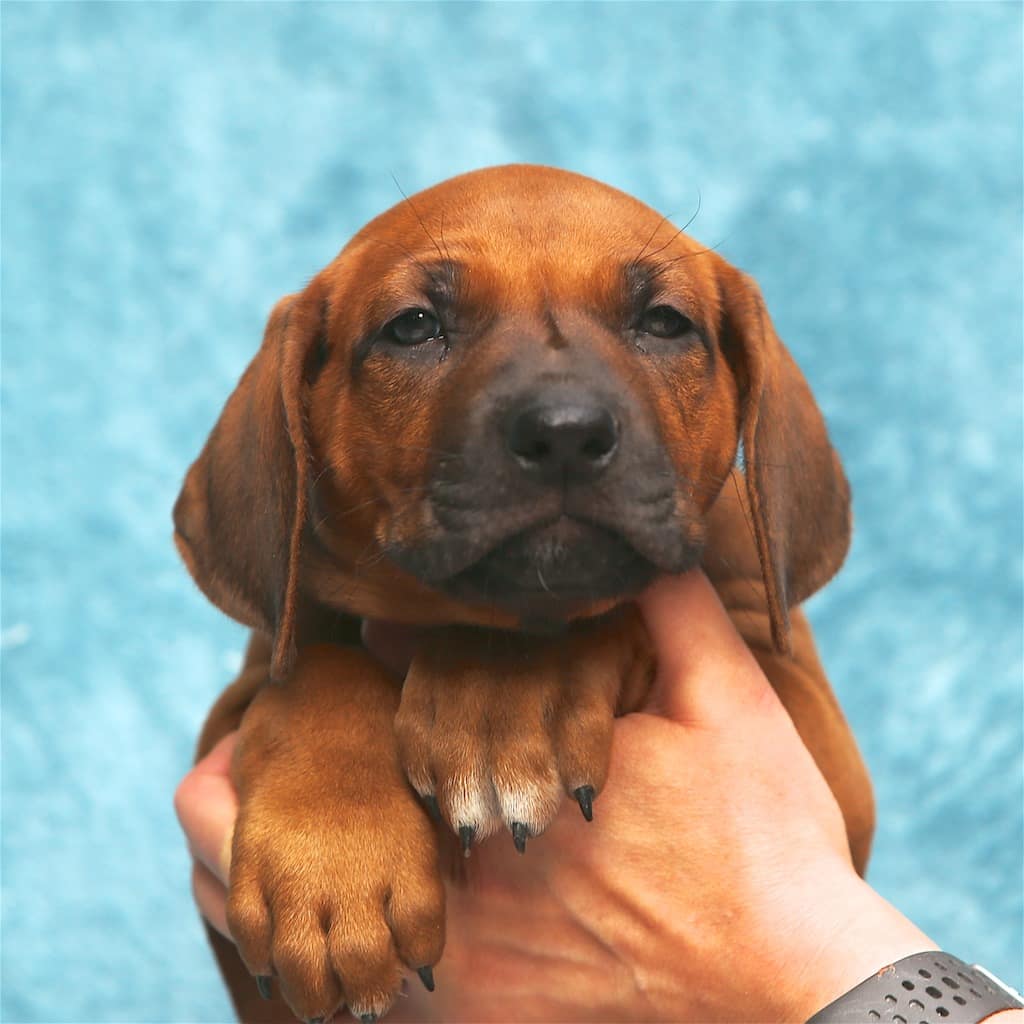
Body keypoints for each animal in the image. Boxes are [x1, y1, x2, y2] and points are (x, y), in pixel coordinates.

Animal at [175, 164, 874, 1023]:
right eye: (413, 327)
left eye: (665, 322)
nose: (565, 432)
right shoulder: (241, 701)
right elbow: (314, 672)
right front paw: (331, 851)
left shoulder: (822, 749)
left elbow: (586, 616)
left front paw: (500, 694)